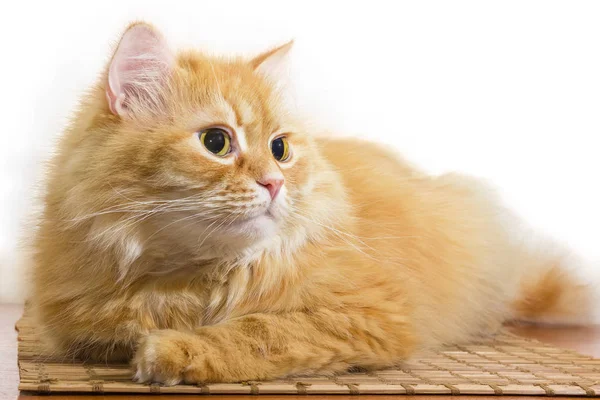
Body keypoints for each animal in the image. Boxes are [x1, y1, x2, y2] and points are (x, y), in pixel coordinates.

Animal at [29, 21, 596, 384]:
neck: (192, 277)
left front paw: (176, 350)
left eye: (280, 149)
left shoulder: (369, 312)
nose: (274, 184)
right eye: (216, 142)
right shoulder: (83, 323)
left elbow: (259, 330)